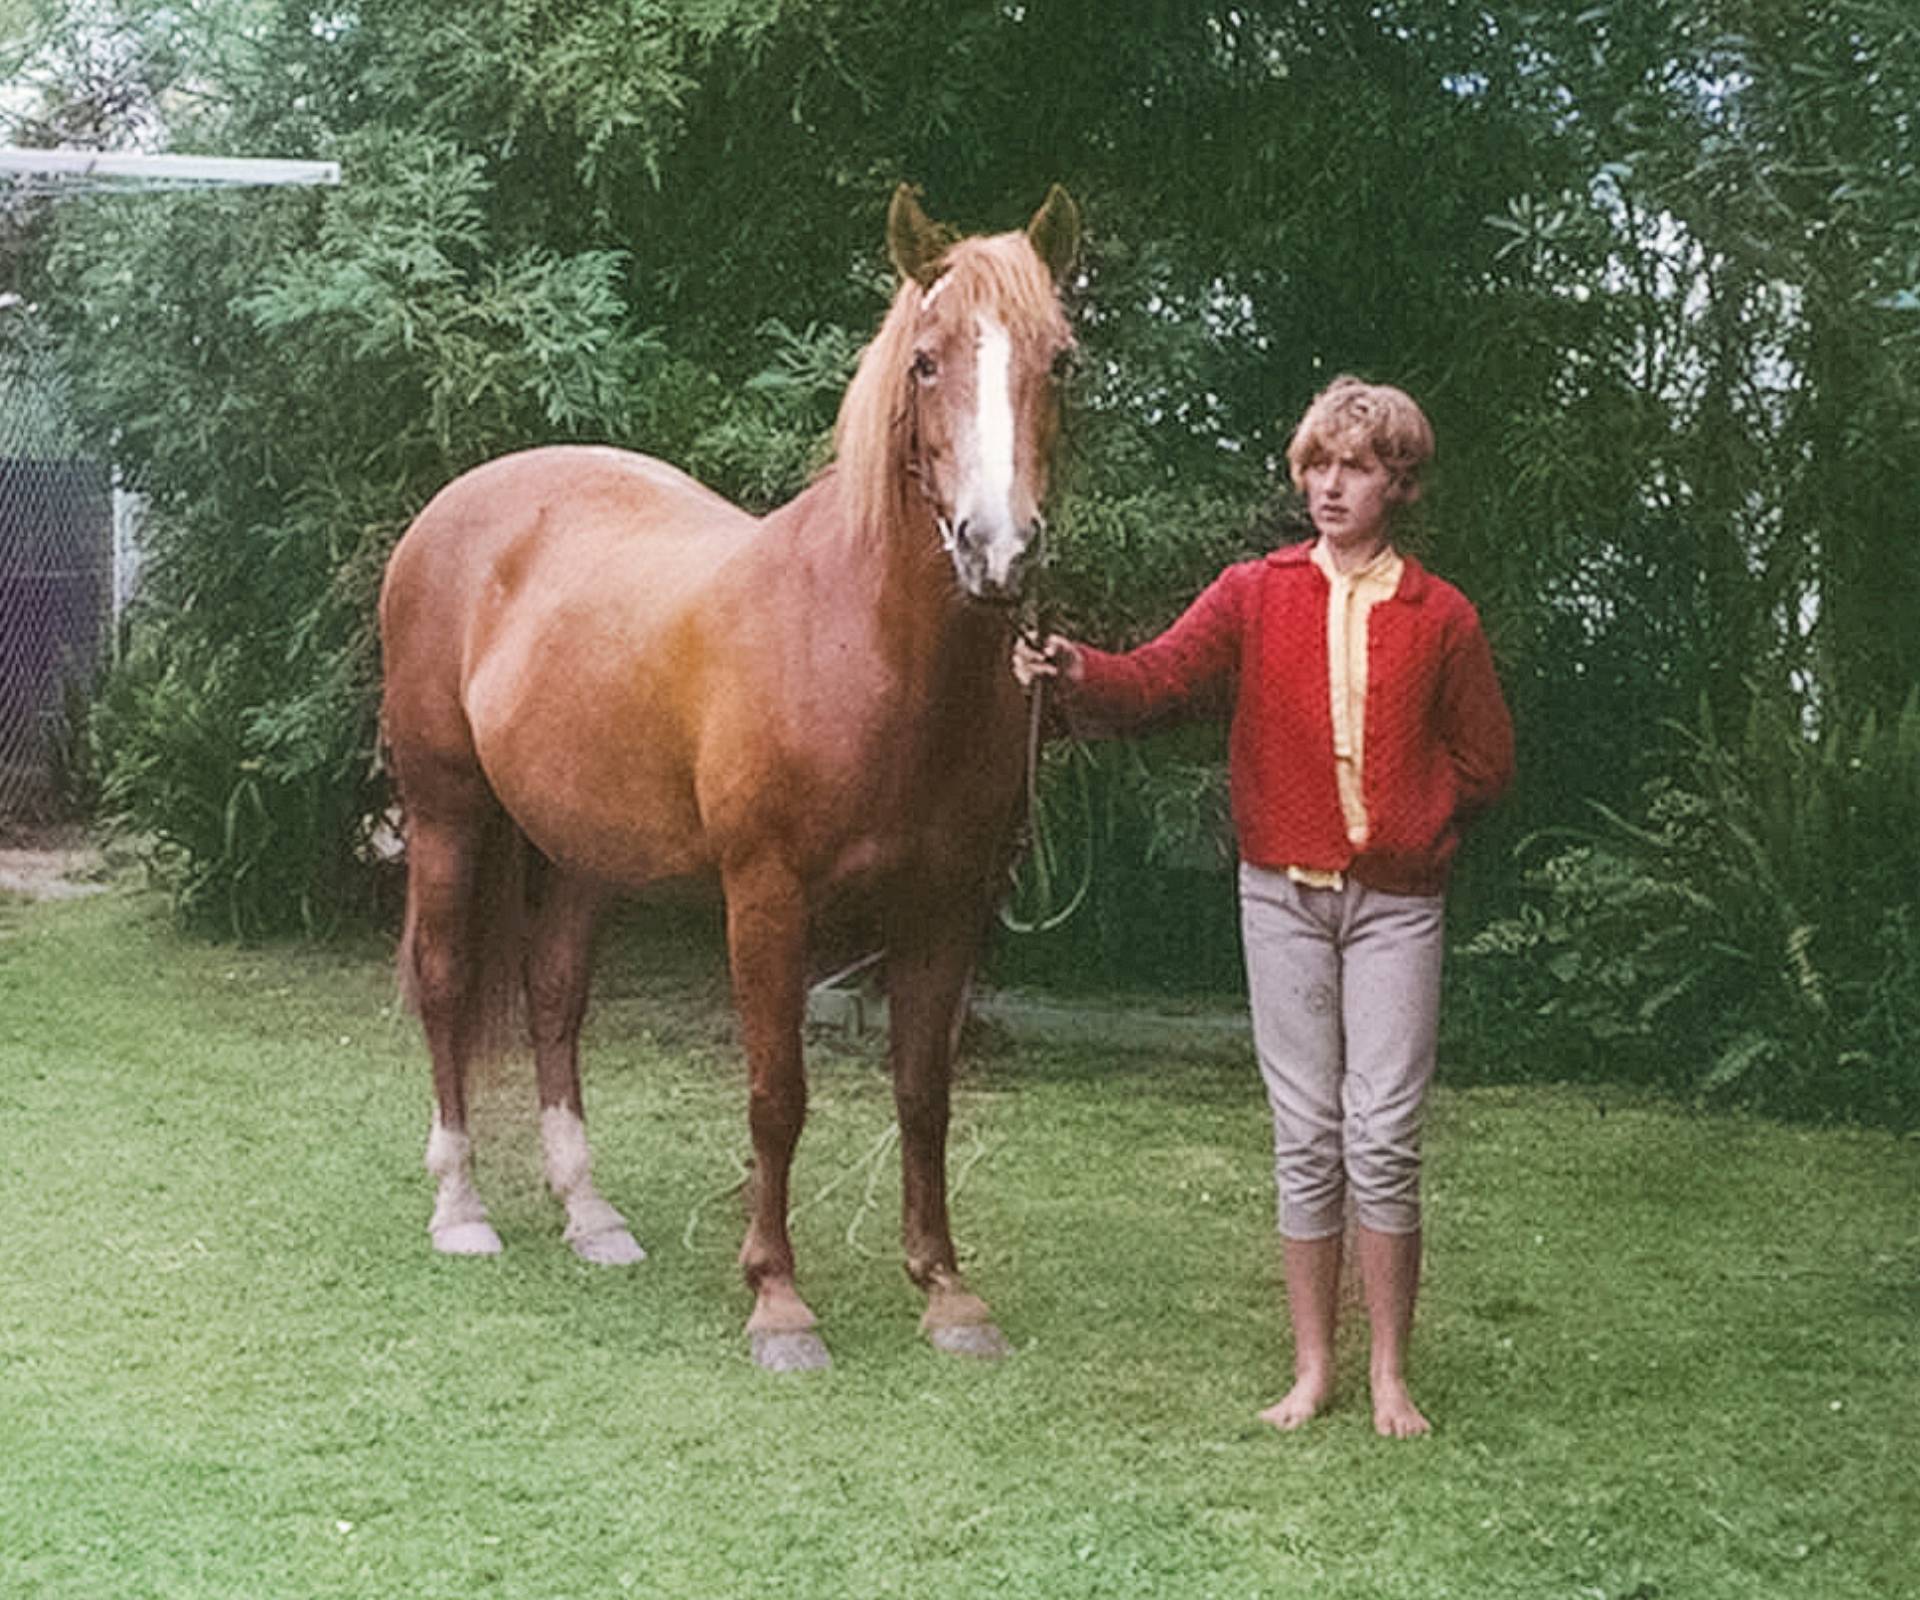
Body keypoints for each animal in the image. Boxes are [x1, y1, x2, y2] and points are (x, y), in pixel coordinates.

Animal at [377, 185, 1080, 1371]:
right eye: (926, 361)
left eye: (1061, 360)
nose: (997, 549)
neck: (863, 646)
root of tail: (453, 509)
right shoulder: (764, 898)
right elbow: (775, 1094)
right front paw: (778, 1299)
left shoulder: (948, 906)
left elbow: (923, 1092)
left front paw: (945, 1290)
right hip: (447, 813)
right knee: (443, 981)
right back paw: (460, 1207)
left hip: (583, 849)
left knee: (554, 996)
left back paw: (590, 1214)